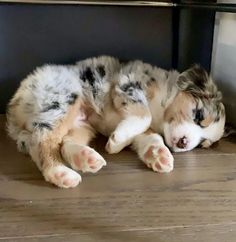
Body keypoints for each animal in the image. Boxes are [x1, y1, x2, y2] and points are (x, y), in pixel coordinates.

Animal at [6, 55, 225, 188]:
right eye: (198, 116)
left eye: (203, 144)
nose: (183, 143)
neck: (163, 105)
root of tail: (15, 104)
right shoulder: (129, 84)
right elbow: (144, 116)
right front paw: (117, 142)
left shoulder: (142, 127)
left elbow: (151, 137)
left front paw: (159, 155)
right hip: (63, 98)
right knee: (42, 140)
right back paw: (60, 173)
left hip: (82, 124)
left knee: (63, 142)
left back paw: (85, 158)